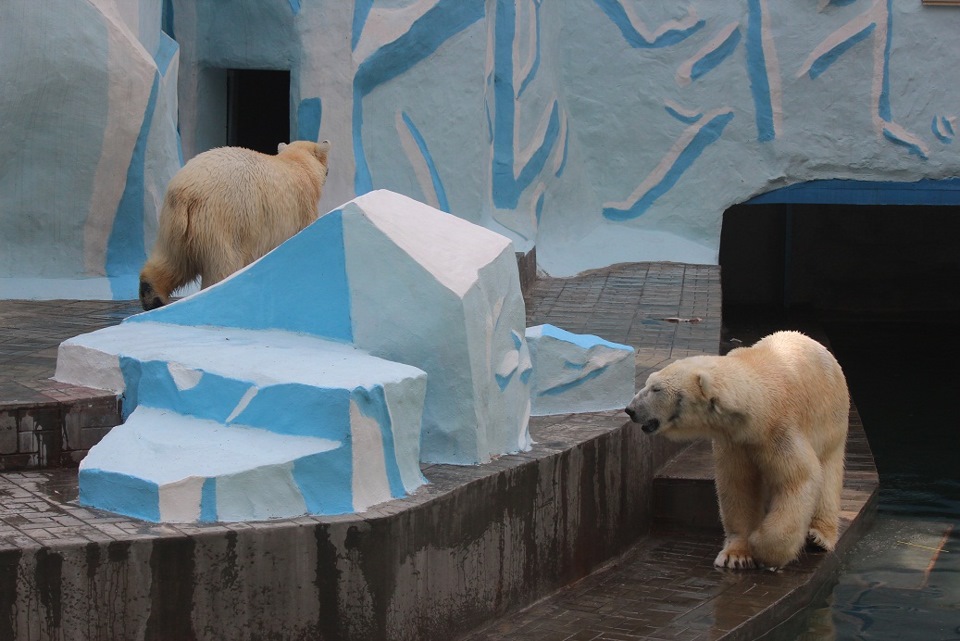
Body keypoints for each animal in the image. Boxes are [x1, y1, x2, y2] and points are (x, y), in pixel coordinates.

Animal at [137, 140, 334, 310]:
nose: (328, 171)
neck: (296, 163)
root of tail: (187, 192)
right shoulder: (300, 210)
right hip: (224, 221)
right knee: (224, 265)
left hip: (173, 222)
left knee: (172, 260)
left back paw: (152, 297)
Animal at [628, 332, 852, 568]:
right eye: (649, 383)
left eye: (656, 389)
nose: (630, 409)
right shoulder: (735, 440)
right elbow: (738, 485)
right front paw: (735, 556)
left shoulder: (780, 430)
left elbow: (799, 478)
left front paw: (764, 548)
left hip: (831, 421)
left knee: (828, 473)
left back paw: (819, 536)